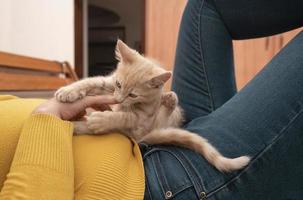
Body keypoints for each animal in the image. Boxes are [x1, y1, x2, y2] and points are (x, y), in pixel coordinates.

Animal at [55, 39, 251, 172]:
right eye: (118, 84)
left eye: (133, 94)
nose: (118, 100)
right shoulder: (108, 83)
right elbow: (91, 82)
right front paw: (68, 91)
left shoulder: (141, 119)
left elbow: (124, 116)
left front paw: (103, 120)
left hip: (157, 125)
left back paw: (169, 99)